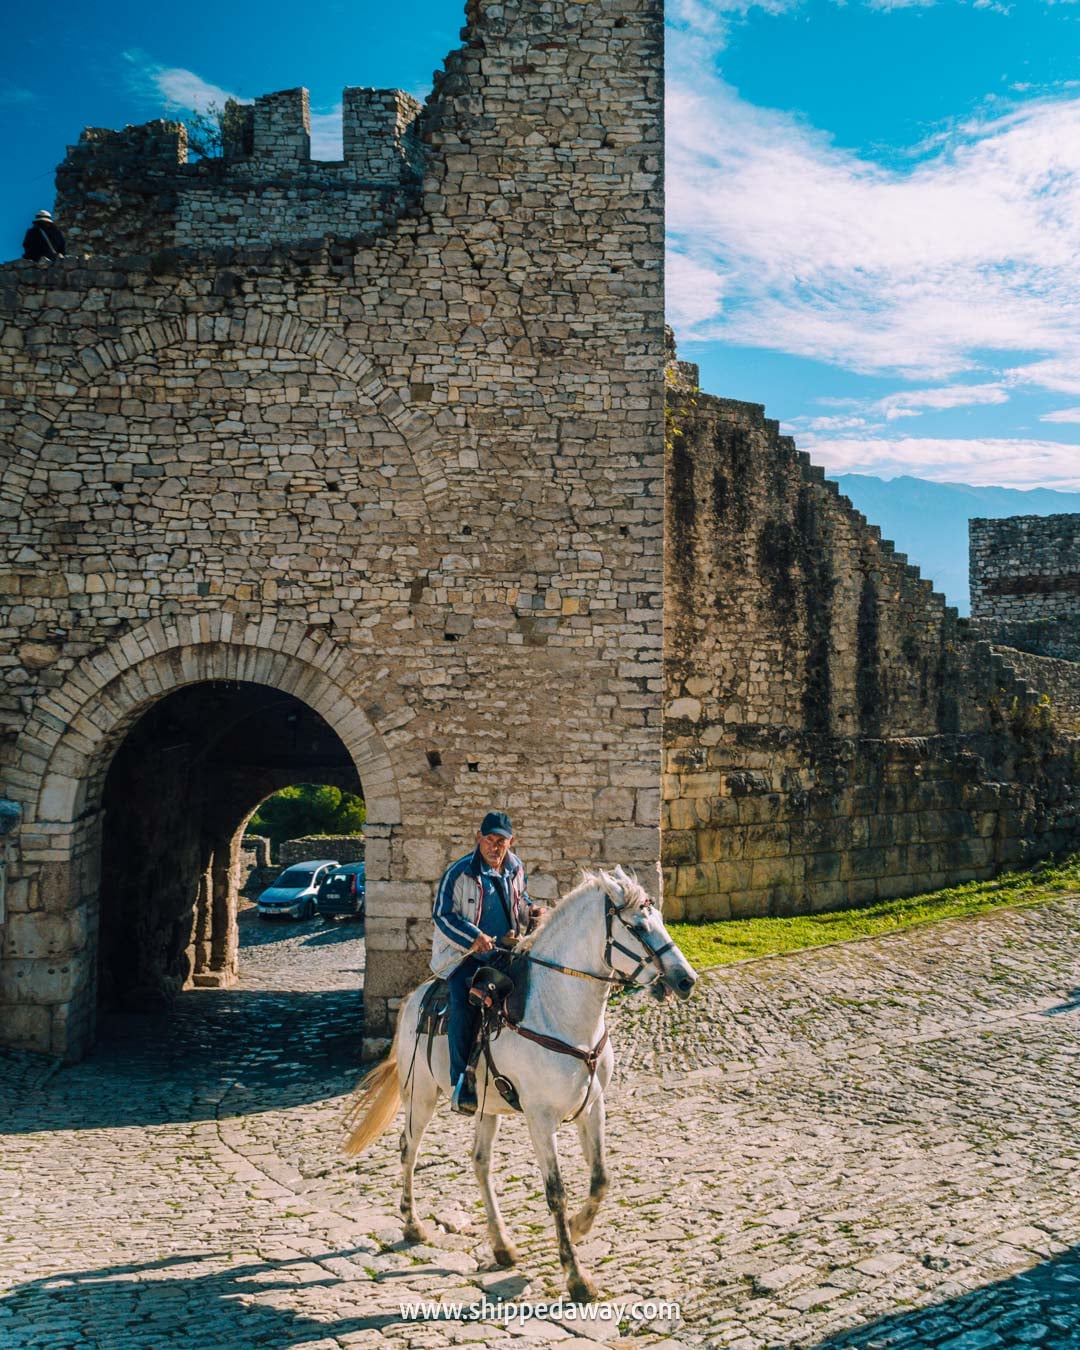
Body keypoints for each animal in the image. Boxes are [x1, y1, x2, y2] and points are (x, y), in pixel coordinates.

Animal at [343, 866, 698, 1303]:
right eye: (636, 926)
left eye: (660, 919)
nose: (686, 980)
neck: (558, 1012)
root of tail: (415, 999)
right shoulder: (540, 1118)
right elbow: (556, 1192)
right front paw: (575, 1276)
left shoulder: (592, 1106)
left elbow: (600, 1179)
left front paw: (579, 1227)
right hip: (421, 1096)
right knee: (408, 1149)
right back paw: (413, 1225)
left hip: (485, 1107)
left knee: (480, 1162)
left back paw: (502, 1245)